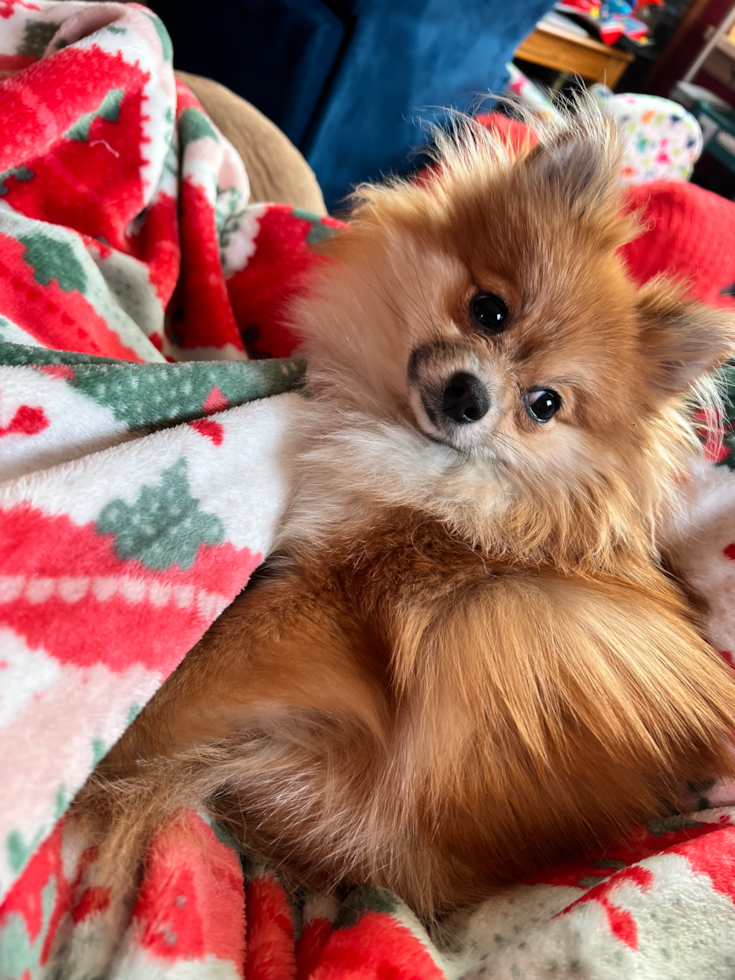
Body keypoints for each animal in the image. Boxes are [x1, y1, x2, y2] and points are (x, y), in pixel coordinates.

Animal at [76, 113, 735, 920]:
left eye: (544, 404)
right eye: (489, 310)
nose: (469, 396)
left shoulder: (332, 598)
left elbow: (201, 671)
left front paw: (116, 734)